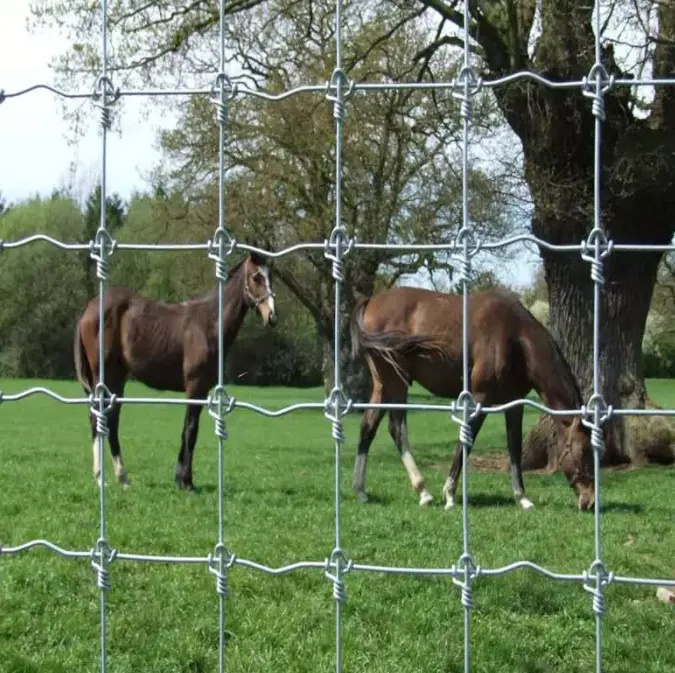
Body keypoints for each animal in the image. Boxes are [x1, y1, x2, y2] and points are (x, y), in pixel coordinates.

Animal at [72, 251, 276, 488]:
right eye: (256, 277)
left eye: (271, 277)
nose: (271, 315)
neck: (209, 324)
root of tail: (89, 309)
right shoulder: (195, 387)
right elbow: (190, 430)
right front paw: (186, 480)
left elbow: (188, 430)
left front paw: (180, 478)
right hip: (104, 376)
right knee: (98, 418)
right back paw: (101, 478)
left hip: (117, 378)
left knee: (110, 419)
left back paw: (122, 477)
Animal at [352, 284, 596, 510]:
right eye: (585, 450)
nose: (591, 501)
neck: (514, 336)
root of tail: (370, 302)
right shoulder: (480, 398)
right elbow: (466, 441)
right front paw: (450, 494)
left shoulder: (514, 404)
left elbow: (514, 448)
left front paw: (522, 498)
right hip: (396, 382)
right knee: (397, 429)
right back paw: (423, 492)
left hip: (382, 386)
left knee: (368, 427)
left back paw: (361, 491)